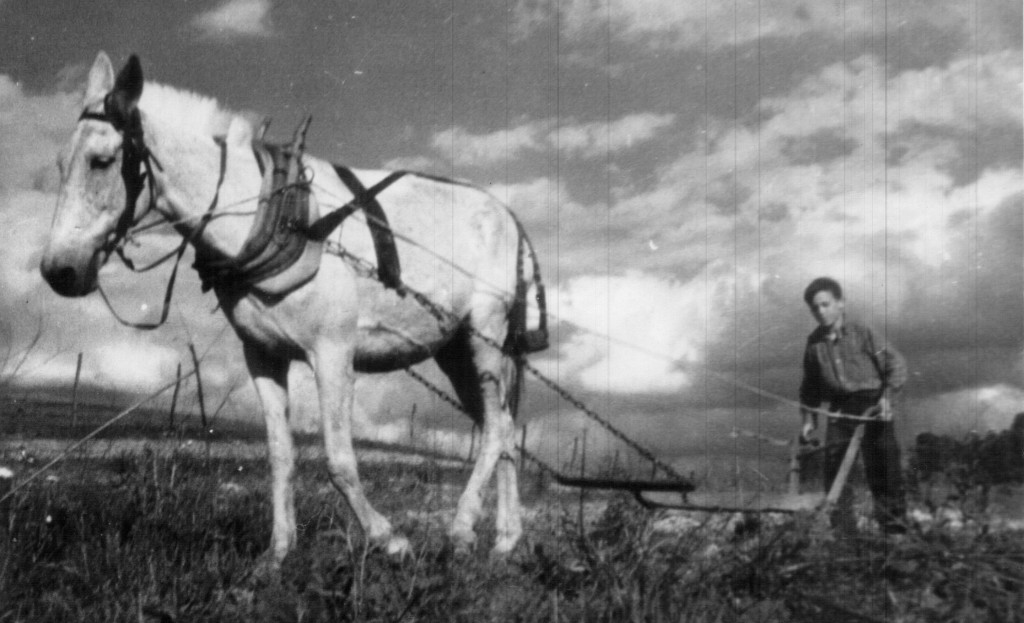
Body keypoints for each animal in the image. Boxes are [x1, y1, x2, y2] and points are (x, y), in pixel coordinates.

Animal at [38, 51, 548, 561]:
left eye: (102, 161)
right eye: (59, 163)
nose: (58, 271)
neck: (270, 215)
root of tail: (507, 215)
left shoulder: (333, 354)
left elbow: (339, 459)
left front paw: (389, 539)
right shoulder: (263, 357)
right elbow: (280, 456)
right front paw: (279, 553)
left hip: (485, 335)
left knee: (497, 429)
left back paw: (462, 528)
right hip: (454, 350)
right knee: (501, 426)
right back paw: (506, 539)